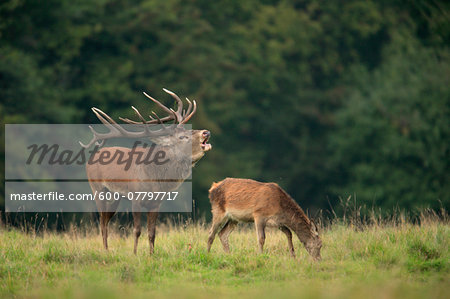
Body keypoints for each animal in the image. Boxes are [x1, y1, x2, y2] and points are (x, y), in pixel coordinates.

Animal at [80, 89, 212, 255]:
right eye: (182, 137)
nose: (206, 132)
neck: (155, 180)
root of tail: (91, 158)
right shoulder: (136, 198)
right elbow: (137, 230)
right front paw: (135, 254)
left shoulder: (156, 203)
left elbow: (152, 232)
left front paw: (151, 254)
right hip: (97, 189)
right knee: (102, 222)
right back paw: (105, 250)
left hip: (115, 196)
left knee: (106, 220)